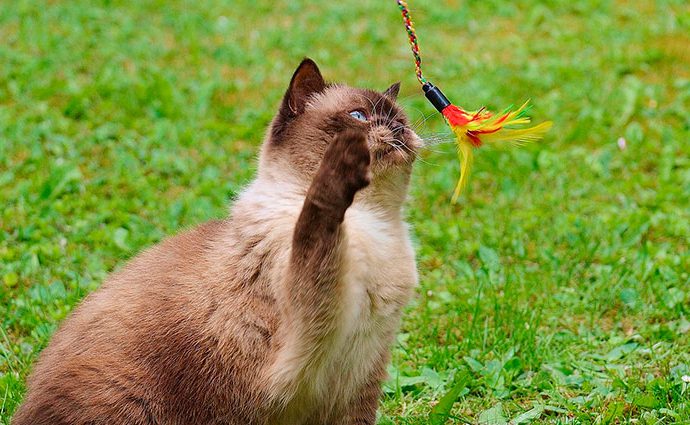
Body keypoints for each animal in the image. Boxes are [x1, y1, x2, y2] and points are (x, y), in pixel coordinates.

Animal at [12, 57, 420, 424]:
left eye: (401, 119)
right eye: (359, 116)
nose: (399, 129)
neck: (374, 223)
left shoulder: (359, 381)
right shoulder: (307, 329)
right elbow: (317, 217)